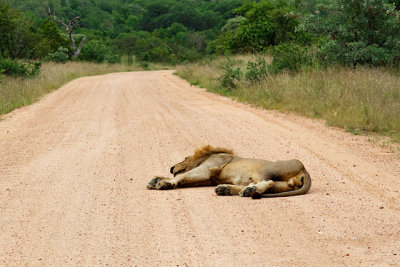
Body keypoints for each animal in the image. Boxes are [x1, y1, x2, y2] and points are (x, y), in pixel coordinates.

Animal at [148, 147, 312, 199]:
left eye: (184, 158)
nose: (171, 167)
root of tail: (304, 169)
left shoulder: (206, 170)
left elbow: (182, 175)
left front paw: (164, 183)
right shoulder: (209, 179)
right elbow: (184, 179)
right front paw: (155, 180)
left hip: (263, 170)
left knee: (266, 182)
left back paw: (246, 191)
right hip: (282, 185)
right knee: (268, 186)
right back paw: (226, 189)